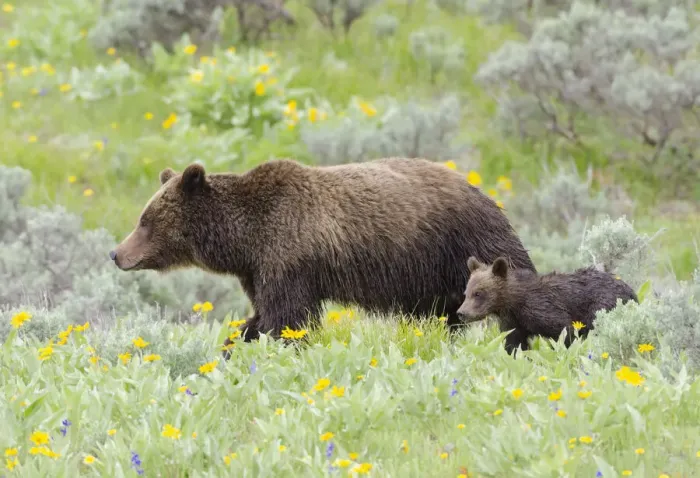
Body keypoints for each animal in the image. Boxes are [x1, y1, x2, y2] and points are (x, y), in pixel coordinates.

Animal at [109, 157, 537, 357]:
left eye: (145, 220)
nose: (116, 253)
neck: (245, 239)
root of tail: (479, 187)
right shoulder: (260, 268)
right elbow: (262, 315)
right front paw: (234, 343)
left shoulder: (289, 257)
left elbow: (287, 319)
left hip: (465, 241)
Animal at [456, 256, 638, 350]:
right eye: (466, 293)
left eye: (478, 293)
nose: (461, 313)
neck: (514, 302)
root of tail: (631, 290)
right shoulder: (514, 322)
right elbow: (514, 344)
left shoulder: (543, 309)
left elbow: (564, 332)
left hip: (603, 306)